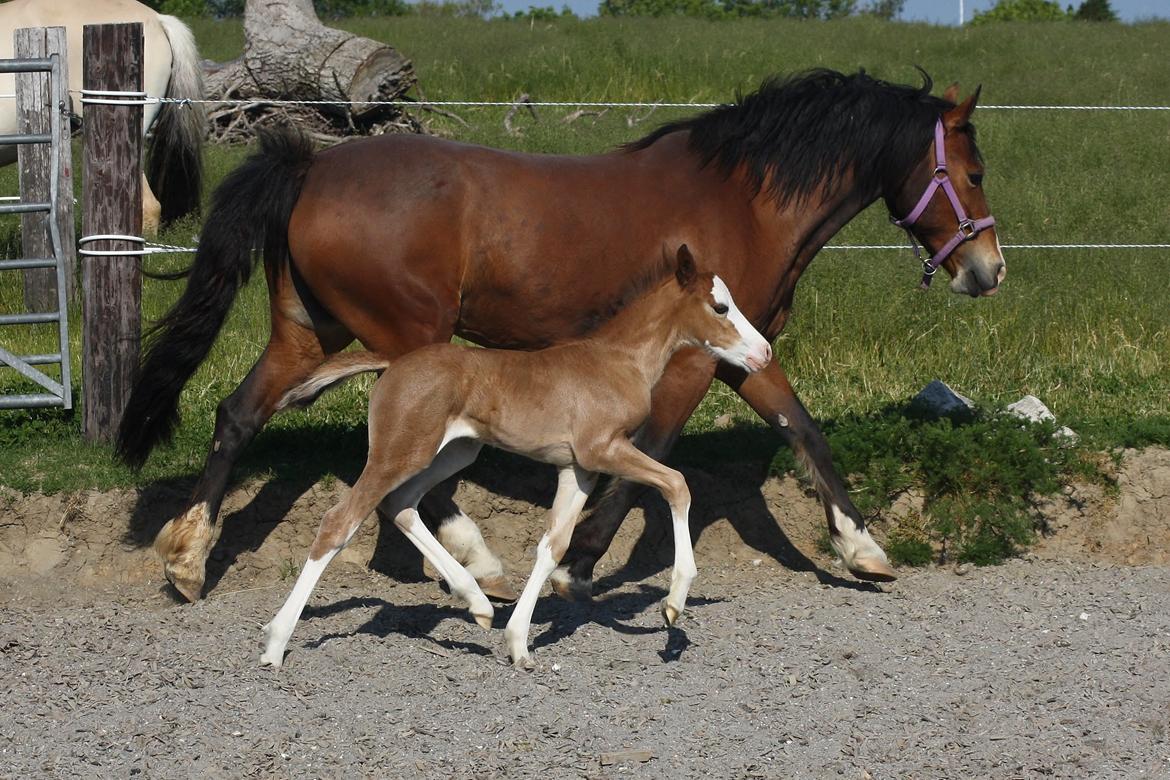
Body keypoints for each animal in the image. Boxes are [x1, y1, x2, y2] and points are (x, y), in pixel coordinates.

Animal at [266, 246, 776, 668]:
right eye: (720, 307)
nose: (765, 353)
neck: (618, 360)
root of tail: (394, 363)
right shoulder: (603, 448)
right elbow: (676, 483)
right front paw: (674, 606)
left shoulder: (579, 468)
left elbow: (553, 545)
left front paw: (518, 644)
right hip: (399, 452)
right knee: (340, 521)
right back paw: (275, 642)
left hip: (453, 451)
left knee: (401, 505)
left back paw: (478, 603)